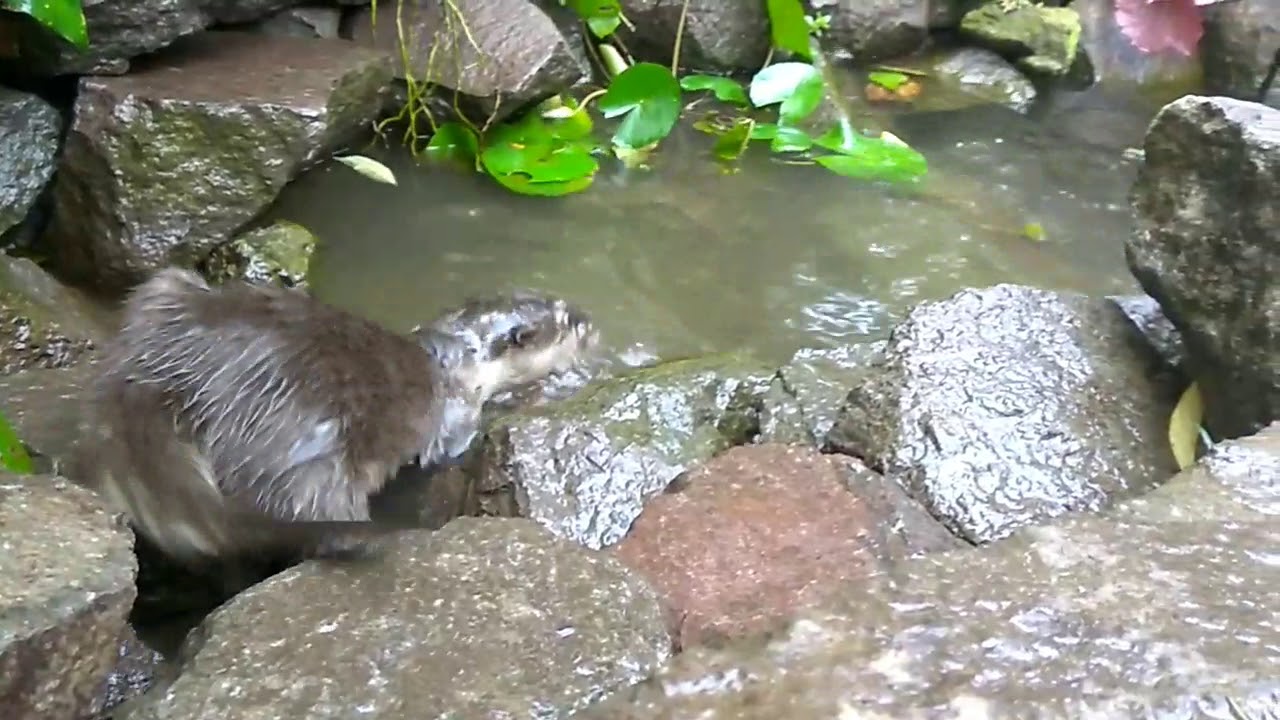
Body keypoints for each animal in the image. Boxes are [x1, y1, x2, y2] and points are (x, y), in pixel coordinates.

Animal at [82, 268, 597, 566]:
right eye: (567, 320)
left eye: (564, 305)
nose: (591, 321)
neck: (456, 360)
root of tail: (166, 374)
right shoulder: (455, 414)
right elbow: (449, 448)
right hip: (309, 452)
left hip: (167, 284)